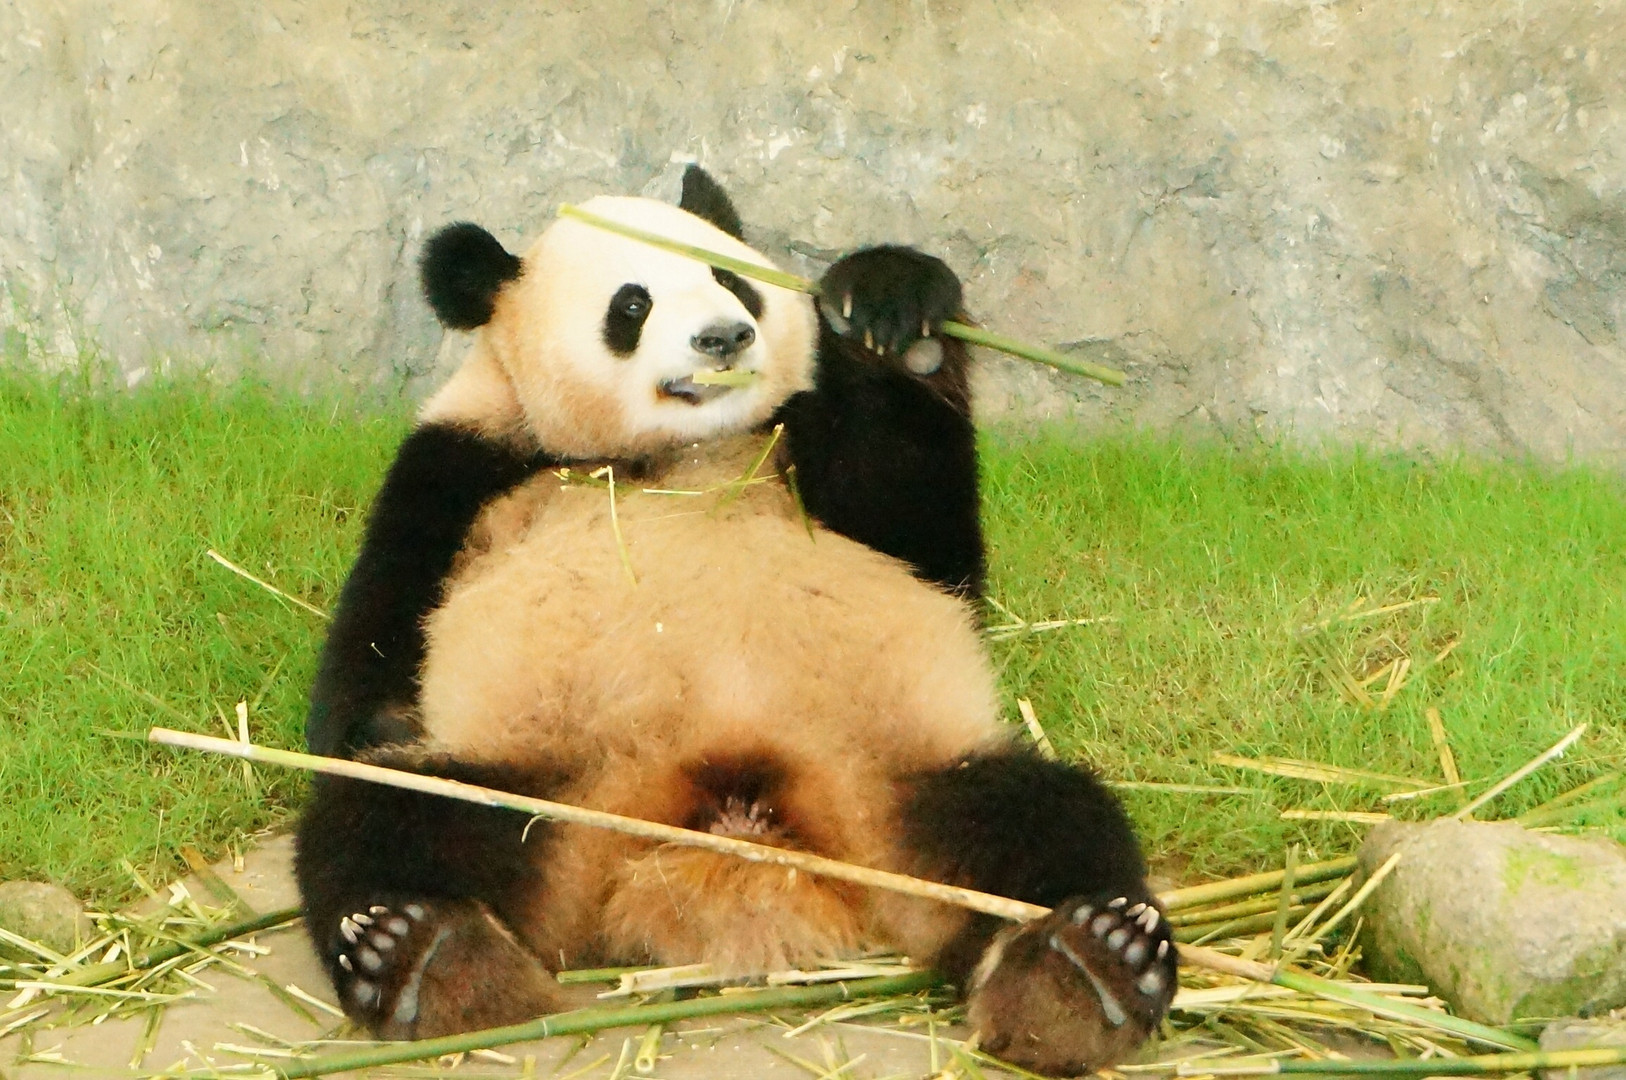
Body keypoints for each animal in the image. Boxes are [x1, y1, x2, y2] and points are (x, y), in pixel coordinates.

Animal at [293, 166, 1176, 1077]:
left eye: (730, 278)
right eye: (632, 305)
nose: (725, 337)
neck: (684, 451)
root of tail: (729, 831)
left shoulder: (798, 448)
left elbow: (925, 542)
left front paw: (893, 314)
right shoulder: (464, 463)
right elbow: (370, 662)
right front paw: (383, 724)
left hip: (900, 783)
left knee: (1041, 819)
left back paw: (1083, 968)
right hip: (543, 788)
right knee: (389, 819)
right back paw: (423, 955)